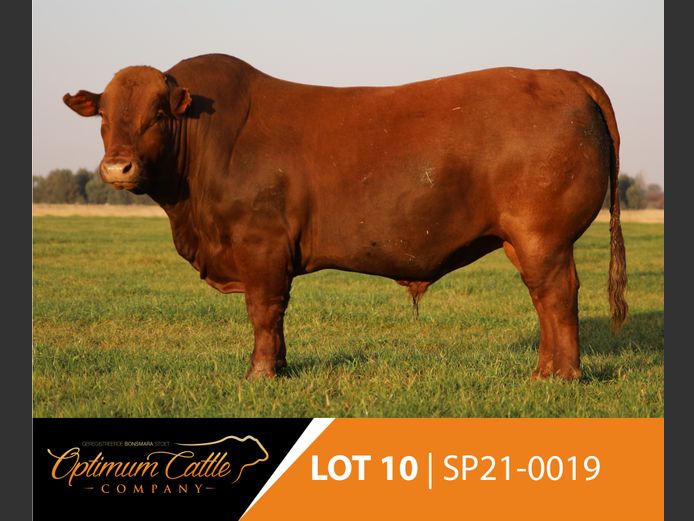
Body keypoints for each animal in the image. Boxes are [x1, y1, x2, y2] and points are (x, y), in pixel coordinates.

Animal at [63, 53, 627, 380]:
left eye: (158, 113)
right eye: (105, 116)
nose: (117, 167)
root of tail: (561, 76)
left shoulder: (261, 245)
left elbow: (264, 311)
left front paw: (261, 374)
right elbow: (274, 316)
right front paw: (281, 367)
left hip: (543, 236)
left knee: (557, 296)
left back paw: (560, 377)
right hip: (523, 239)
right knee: (545, 300)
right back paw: (545, 371)